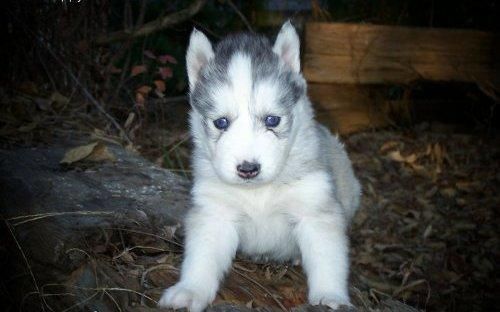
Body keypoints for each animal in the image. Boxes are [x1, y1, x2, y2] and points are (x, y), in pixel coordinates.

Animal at [159, 21, 360, 310]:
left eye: (272, 120)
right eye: (221, 122)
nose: (248, 169)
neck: (258, 192)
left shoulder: (315, 210)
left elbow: (327, 259)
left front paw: (330, 296)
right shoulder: (214, 213)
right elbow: (202, 257)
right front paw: (190, 290)